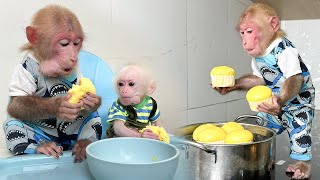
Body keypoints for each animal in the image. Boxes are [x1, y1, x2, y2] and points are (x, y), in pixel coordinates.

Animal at [5, 4, 102, 162]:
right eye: (64, 44)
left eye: (76, 43)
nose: (73, 57)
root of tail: (63, 144)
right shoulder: (24, 69)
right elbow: (17, 103)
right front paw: (57, 105)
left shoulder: (77, 70)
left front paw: (93, 101)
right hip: (39, 136)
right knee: (13, 123)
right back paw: (39, 147)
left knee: (92, 117)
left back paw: (85, 143)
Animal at [212, 3, 316, 180]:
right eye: (242, 32)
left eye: (250, 31)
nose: (245, 41)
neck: (269, 47)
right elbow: (258, 79)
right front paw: (228, 86)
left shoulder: (287, 52)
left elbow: (294, 78)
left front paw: (278, 101)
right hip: (267, 120)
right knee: (263, 125)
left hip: (300, 114)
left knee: (299, 130)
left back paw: (302, 166)